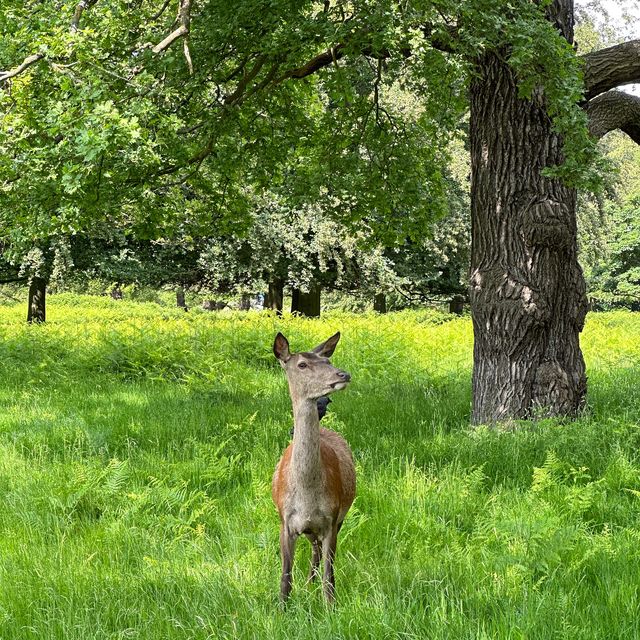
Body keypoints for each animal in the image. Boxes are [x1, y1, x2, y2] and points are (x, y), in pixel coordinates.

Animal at [272, 332, 358, 604]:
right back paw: (308, 584)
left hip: (339, 517)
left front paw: (331, 607)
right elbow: (285, 576)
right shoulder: (285, 520)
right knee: (314, 550)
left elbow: (329, 577)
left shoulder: (332, 517)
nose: (343, 374)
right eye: (302, 364)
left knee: (319, 554)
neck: (307, 495)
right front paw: (282, 607)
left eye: (327, 360)